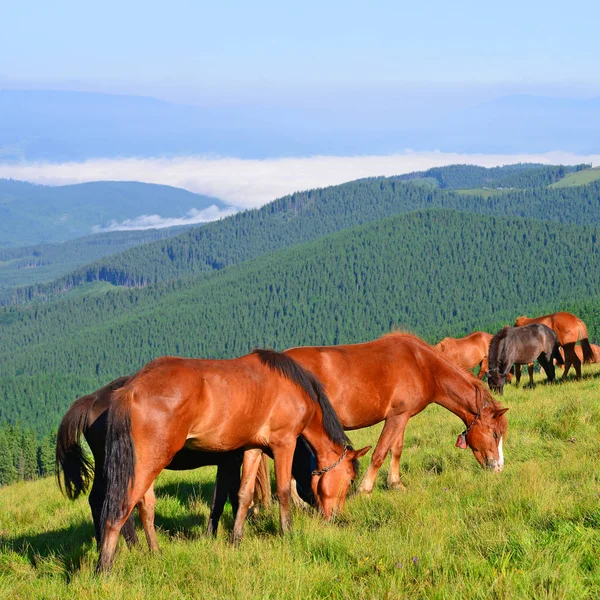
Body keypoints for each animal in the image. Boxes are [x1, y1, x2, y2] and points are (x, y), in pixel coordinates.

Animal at [56, 378, 272, 552]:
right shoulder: (230, 461)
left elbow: (225, 497)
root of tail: (92, 399)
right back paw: (133, 547)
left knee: (97, 500)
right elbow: (225, 499)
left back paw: (105, 546)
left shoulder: (227, 462)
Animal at [96, 352, 368, 572]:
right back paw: (104, 568)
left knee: (144, 507)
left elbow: (244, 495)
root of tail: (131, 388)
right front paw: (287, 532)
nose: (337, 517)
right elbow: (282, 490)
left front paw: (236, 539)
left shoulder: (252, 448)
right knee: (120, 510)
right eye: (350, 479)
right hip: (147, 464)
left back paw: (154, 553)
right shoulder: (284, 443)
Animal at [284, 330, 508, 494]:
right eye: (495, 434)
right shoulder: (396, 417)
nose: (498, 468)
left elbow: (396, 449)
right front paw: (365, 489)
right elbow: (380, 452)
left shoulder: (402, 416)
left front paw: (395, 483)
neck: (423, 365)